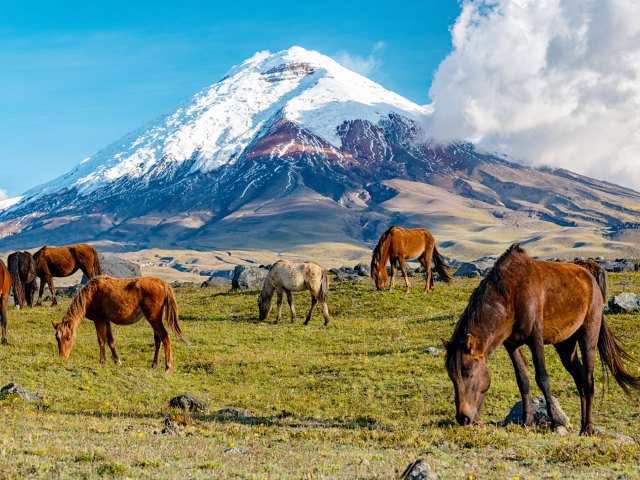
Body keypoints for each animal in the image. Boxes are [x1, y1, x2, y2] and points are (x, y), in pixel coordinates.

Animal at [52, 274, 188, 372]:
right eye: (57, 338)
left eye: (68, 338)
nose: (62, 357)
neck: (92, 293)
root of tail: (163, 284)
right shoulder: (106, 320)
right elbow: (110, 340)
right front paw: (117, 361)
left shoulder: (99, 319)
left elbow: (101, 340)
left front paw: (102, 361)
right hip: (154, 319)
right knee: (158, 339)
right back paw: (154, 365)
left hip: (154, 318)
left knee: (165, 337)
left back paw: (168, 366)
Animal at [442, 244, 636, 436]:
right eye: (452, 376)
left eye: (469, 374)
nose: (463, 418)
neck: (511, 295)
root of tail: (589, 274)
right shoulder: (511, 344)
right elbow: (522, 380)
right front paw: (527, 421)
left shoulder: (536, 338)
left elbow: (542, 378)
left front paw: (556, 422)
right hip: (565, 345)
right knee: (580, 378)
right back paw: (582, 426)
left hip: (588, 336)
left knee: (588, 379)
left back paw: (588, 427)